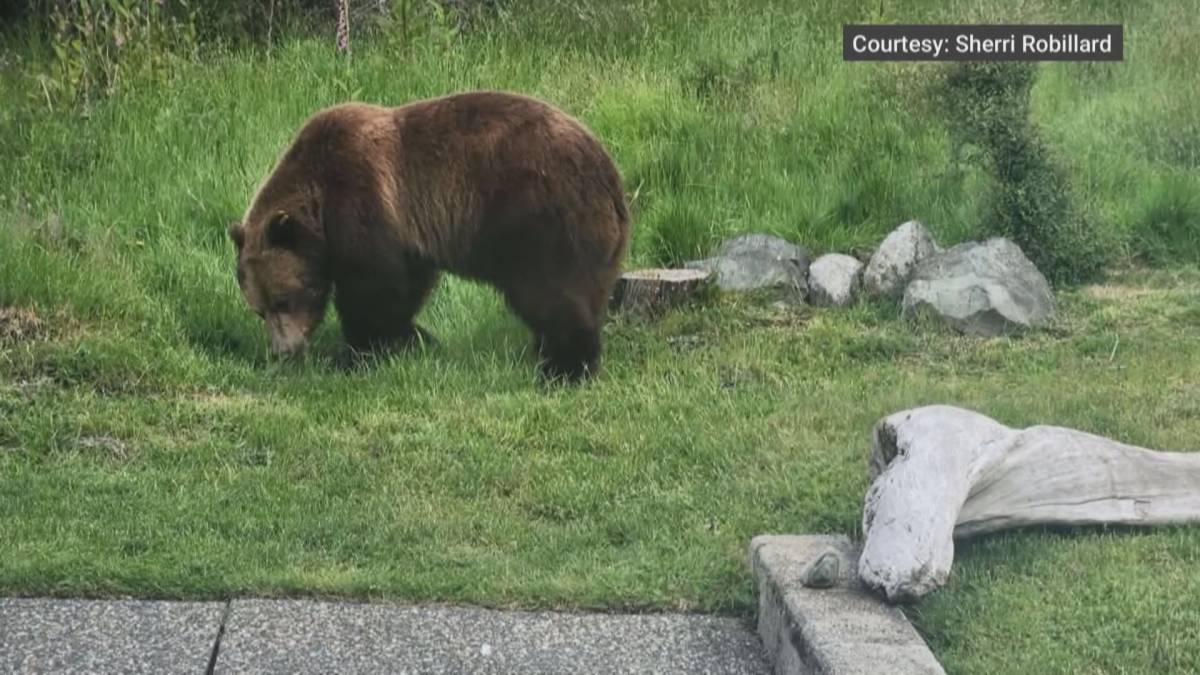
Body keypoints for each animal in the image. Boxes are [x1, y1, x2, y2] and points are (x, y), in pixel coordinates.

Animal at [228, 91, 630, 380]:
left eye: (283, 301)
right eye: (259, 310)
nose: (284, 351)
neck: (318, 202)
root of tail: (609, 176)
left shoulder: (360, 198)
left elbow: (373, 289)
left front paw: (358, 352)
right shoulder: (408, 235)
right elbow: (408, 284)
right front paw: (415, 338)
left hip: (540, 217)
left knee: (550, 293)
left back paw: (566, 367)